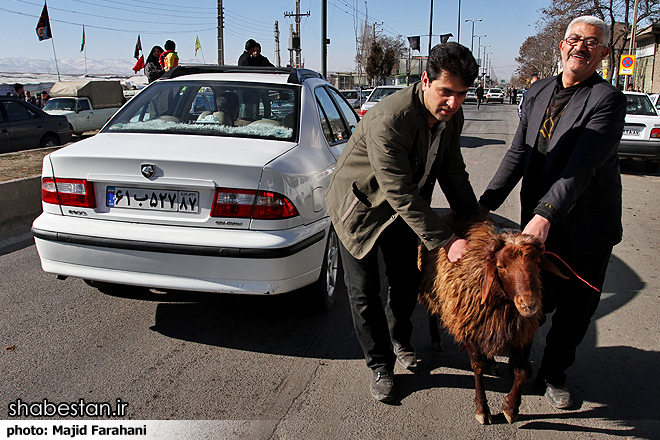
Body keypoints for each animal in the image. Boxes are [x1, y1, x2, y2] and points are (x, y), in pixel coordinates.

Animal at [420, 222, 564, 424]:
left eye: (537, 264)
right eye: (500, 266)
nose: (529, 304)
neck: (502, 302)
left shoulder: (514, 331)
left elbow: (522, 371)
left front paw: (511, 408)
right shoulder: (469, 325)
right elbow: (477, 366)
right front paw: (482, 409)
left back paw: (492, 363)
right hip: (431, 284)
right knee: (432, 310)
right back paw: (436, 339)